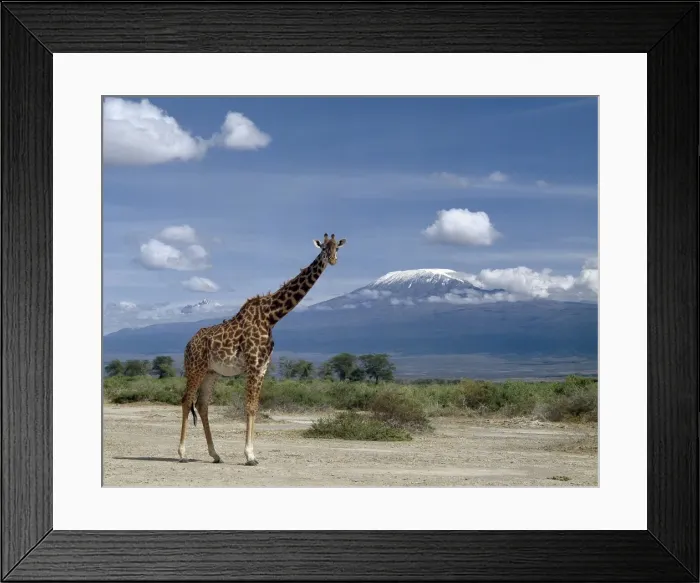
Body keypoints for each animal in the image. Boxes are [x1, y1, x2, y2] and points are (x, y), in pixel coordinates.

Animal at [177, 233, 346, 465]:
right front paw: (250, 456)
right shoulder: (254, 364)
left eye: (337, 248)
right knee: (186, 401)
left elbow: (255, 407)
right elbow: (249, 406)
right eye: (322, 248)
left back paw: (215, 454)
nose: (332, 260)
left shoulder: (263, 366)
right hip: (195, 368)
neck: (271, 316)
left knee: (202, 405)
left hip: (211, 372)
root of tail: (188, 344)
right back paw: (182, 453)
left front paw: (250, 453)